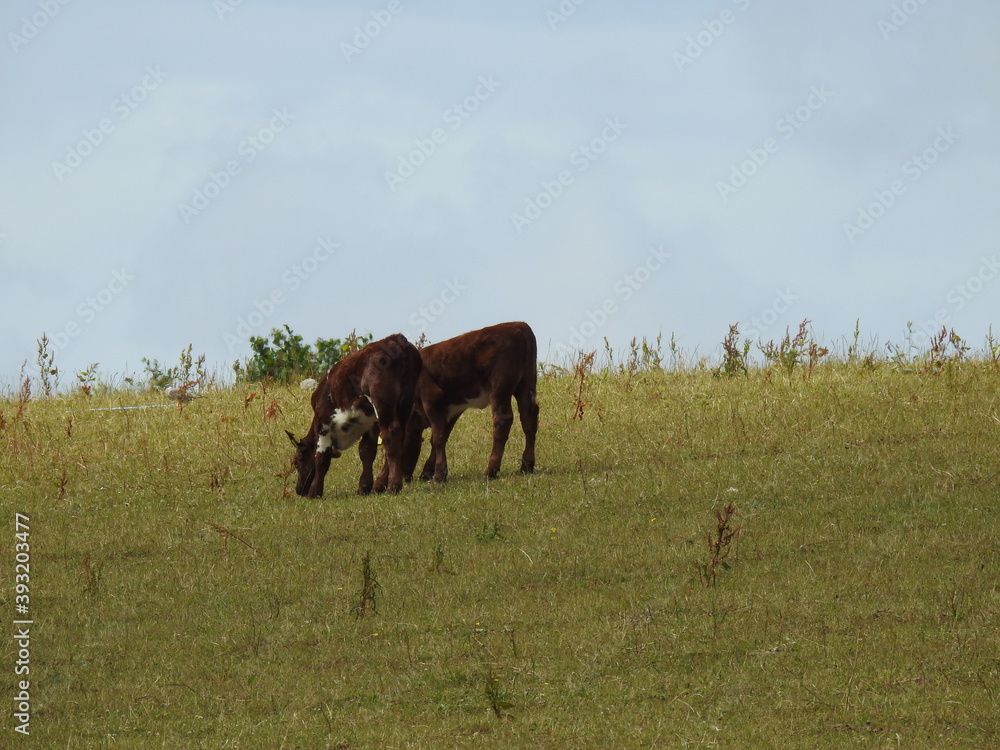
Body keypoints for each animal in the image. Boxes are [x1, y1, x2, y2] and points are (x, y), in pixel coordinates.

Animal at [286, 333, 421, 498]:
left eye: (297, 461)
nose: (299, 490)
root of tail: (395, 338)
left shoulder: (323, 422)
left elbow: (321, 458)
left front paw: (315, 491)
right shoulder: (371, 423)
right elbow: (366, 451)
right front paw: (364, 486)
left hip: (381, 400)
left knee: (390, 433)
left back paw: (393, 486)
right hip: (404, 403)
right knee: (399, 437)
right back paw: (380, 484)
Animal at [403, 321, 538, 483]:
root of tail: (518, 325)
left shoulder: (431, 398)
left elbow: (437, 438)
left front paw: (438, 475)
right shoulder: (451, 409)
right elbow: (441, 435)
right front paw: (428, 471)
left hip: (499, 389)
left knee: (502, 422)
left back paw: (490, 471)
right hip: (526, 385)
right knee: (529, 418)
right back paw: (526, 466)